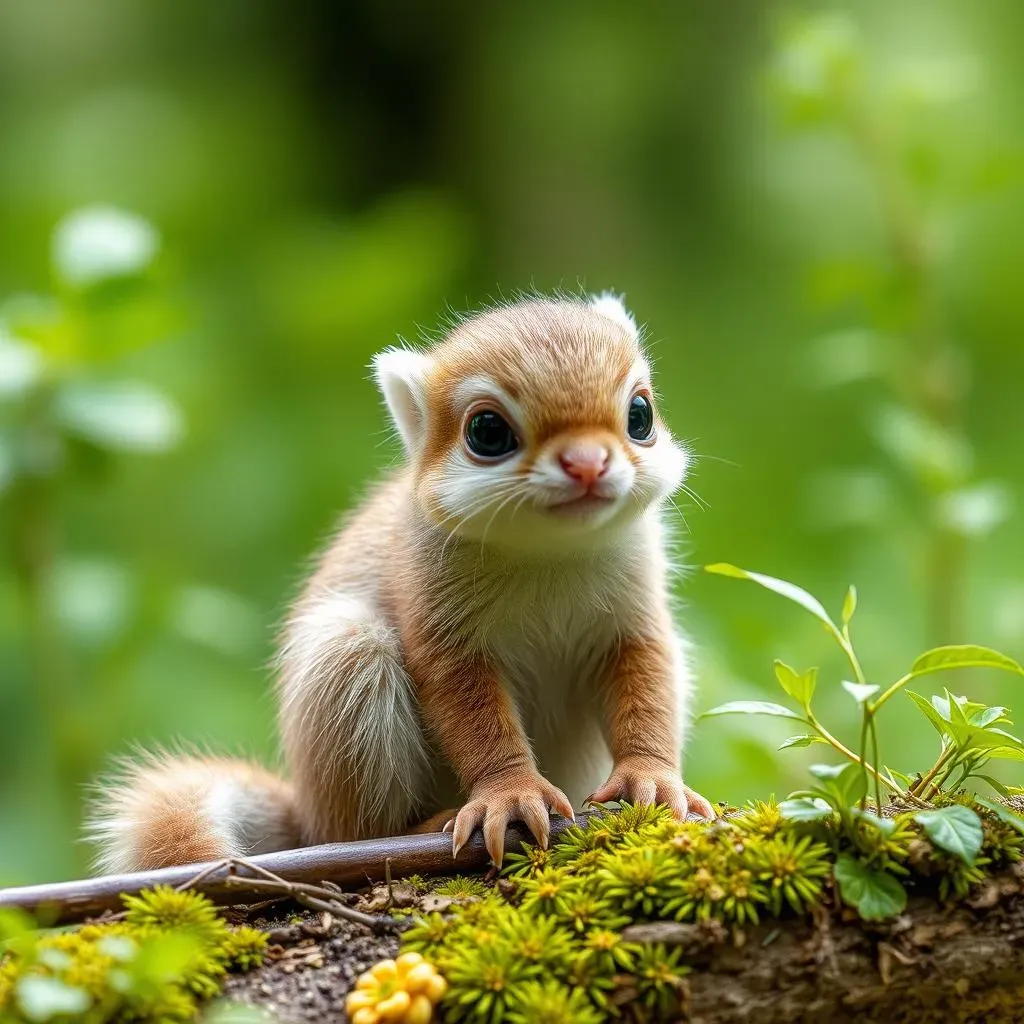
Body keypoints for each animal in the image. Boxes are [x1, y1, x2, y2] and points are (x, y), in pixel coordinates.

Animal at [86, 290, 712, 872]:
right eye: (487, 431)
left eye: (640, 414)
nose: (588, 464)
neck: (549, 555)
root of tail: (304, 814)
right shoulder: (440, 628)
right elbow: (477, 722)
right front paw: (510, 795)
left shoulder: (636, 622)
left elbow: (648, 693)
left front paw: (654, 779)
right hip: (346, 660)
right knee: (353, 830)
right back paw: (418, 826)